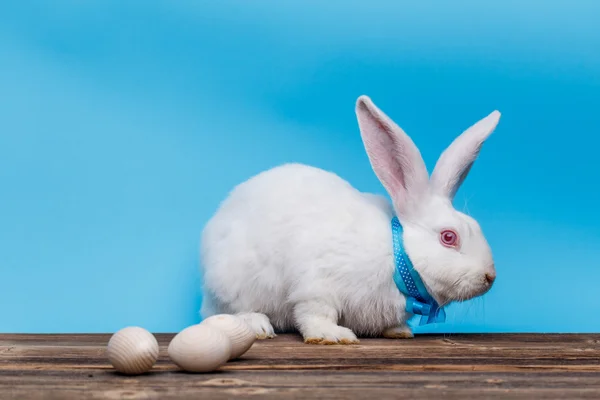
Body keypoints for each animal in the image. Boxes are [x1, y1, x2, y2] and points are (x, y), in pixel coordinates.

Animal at [199, 94, 500, 344]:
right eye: (449, 237)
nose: (490, 276)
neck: (396, 255)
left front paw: (399, 331)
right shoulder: (316, 286)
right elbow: (315, 313)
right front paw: (332, 336)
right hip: (236, 284)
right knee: (229, 312)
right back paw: (259, 326)